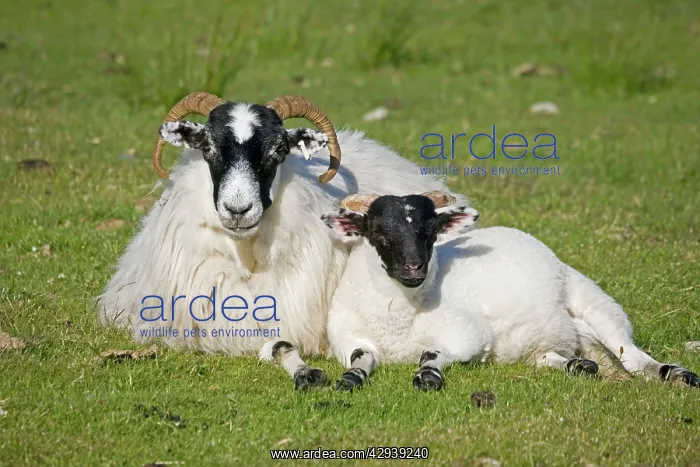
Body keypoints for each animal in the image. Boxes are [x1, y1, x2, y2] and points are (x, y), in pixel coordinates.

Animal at [321, 191, 700, 391]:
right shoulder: (347, 339)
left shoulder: (468, 333)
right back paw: (578, 364)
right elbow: (360, 357)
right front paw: (350, 379)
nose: (415, 268)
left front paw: (428, 375)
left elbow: (432, 352)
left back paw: (677, 374)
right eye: (378, 233)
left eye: (430, 233)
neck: (398, 318)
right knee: (553, 358)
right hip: (547, 341)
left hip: (595, 303)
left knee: (632, 356)